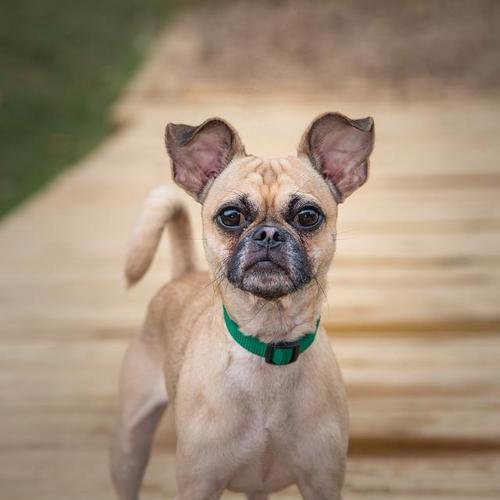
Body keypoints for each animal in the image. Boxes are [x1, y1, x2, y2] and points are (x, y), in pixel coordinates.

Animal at [110, 113, 376, 500]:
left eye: (308, 216)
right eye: (231, 216)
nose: (269, 234)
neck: (269, 344)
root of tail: (183, 273)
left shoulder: (322, 481)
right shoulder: (199, 484)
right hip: (129, 448)